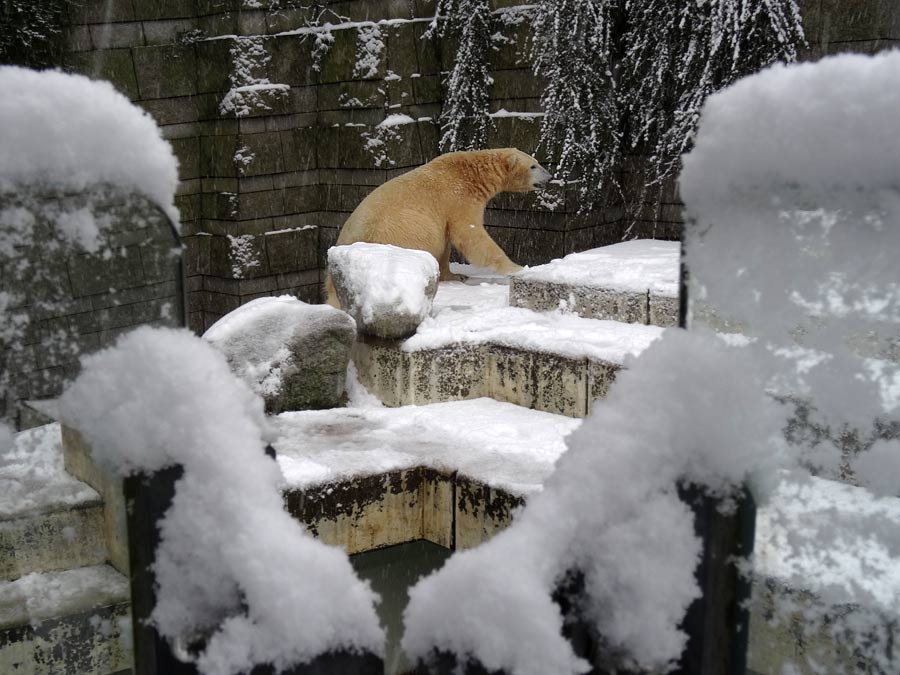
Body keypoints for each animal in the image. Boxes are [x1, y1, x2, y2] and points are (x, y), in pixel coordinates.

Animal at [324, 149, 548, 308]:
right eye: (533, 165)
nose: (550, 176)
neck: (471, 173)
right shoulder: (458, 197)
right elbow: (470, 234)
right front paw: (516, 268)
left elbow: (447, 243)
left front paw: (457, 275)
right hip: (401, 229)